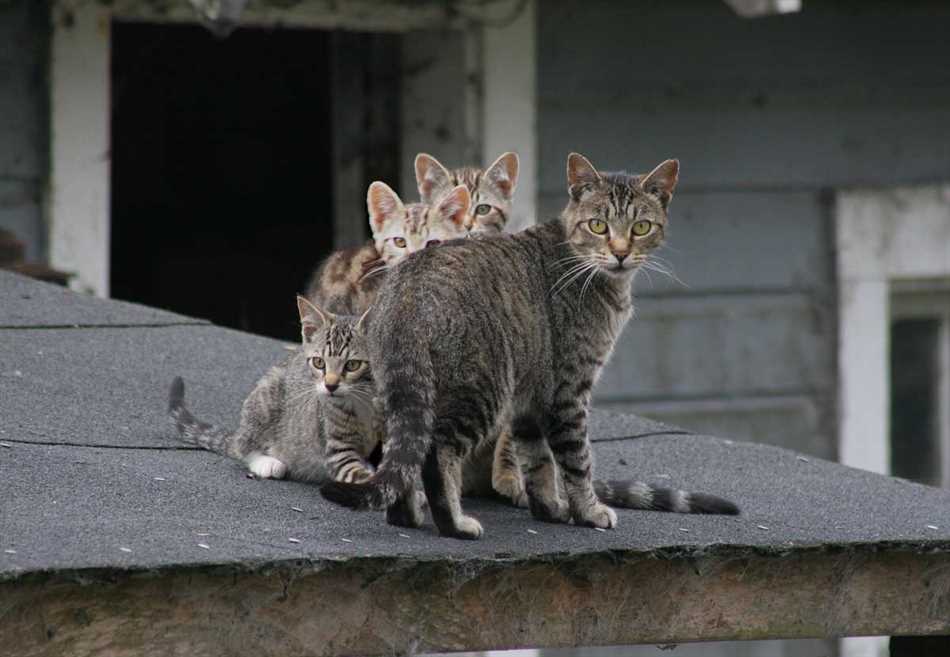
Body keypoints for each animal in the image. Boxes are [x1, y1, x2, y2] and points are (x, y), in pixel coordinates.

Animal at [167, 296, 380, 482]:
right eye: (319, 362)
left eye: (352, 365)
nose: (330, 385)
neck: (364, 402)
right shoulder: (334, 446)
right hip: (265, 397)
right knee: (242, 446)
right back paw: (266, 462)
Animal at [324, 152, 740, 540]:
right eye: (598, 225)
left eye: (641, 227)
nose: (621, 253)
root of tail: (409, 288)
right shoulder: (569, 389)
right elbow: (576, 461)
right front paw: (589, 511)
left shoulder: (530, 398)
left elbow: (537, 461)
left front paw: (549, 508)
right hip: (481, 389)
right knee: (436, 454)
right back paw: (455, 523)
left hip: (403, 397)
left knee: (405, 456)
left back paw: (405, 515)